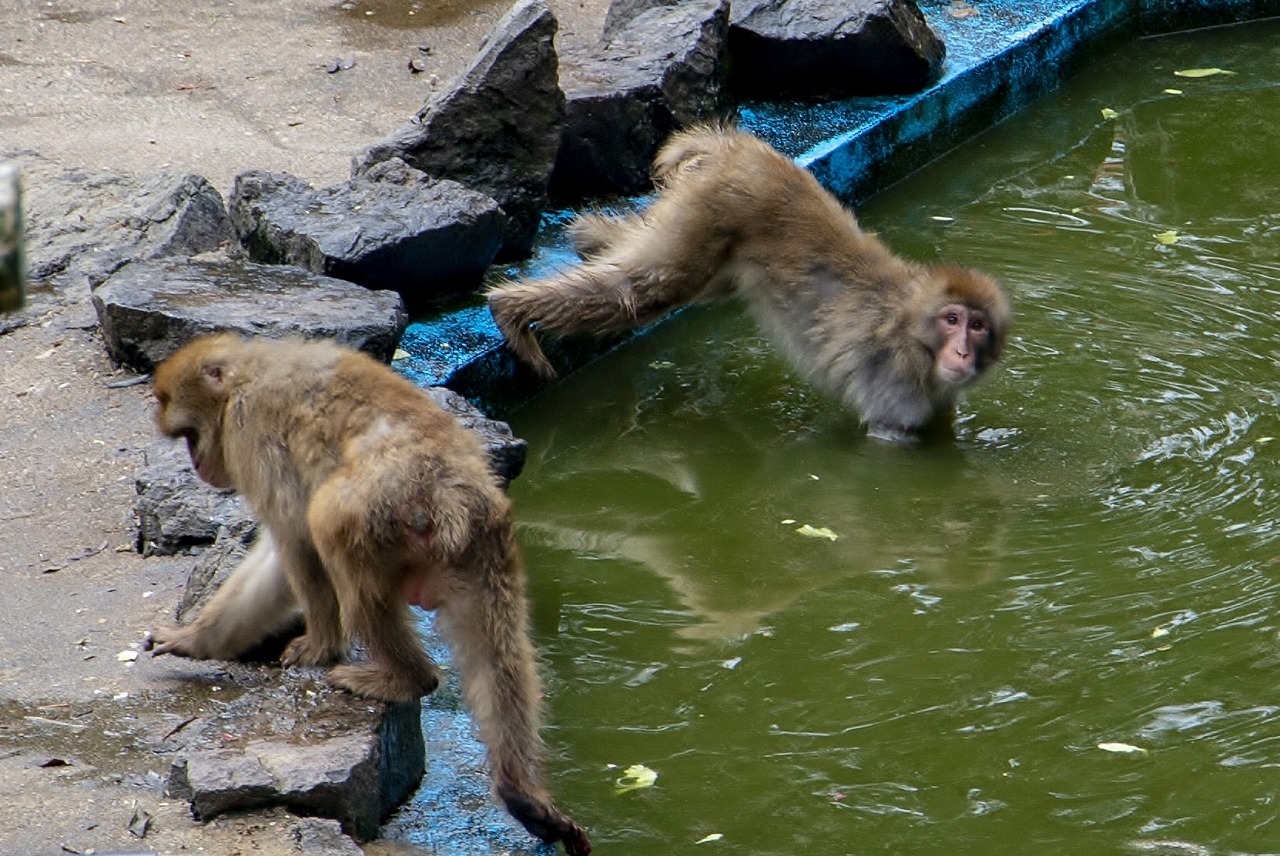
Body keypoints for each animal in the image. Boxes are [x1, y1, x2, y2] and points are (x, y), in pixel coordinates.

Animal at [146, 335, 593, 854]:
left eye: (189, 436)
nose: (196, 465)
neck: (245, 374)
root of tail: (449, 492)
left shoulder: (249, 430)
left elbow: (295, 535)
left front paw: (318, 647)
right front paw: (197, 639)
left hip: (386, 505)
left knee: (328, 520)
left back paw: (405, 678)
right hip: (485, 549)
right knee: (496, 647)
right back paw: (523, 796)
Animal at [486, 128, 1008, 447]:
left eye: (978, 326)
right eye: (952, 320)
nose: (963, 351)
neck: (914, 336)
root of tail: (738, 148)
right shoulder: (895, 395)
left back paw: (590, 235)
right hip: (712, 206)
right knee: (648, 287)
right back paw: (509, 306)